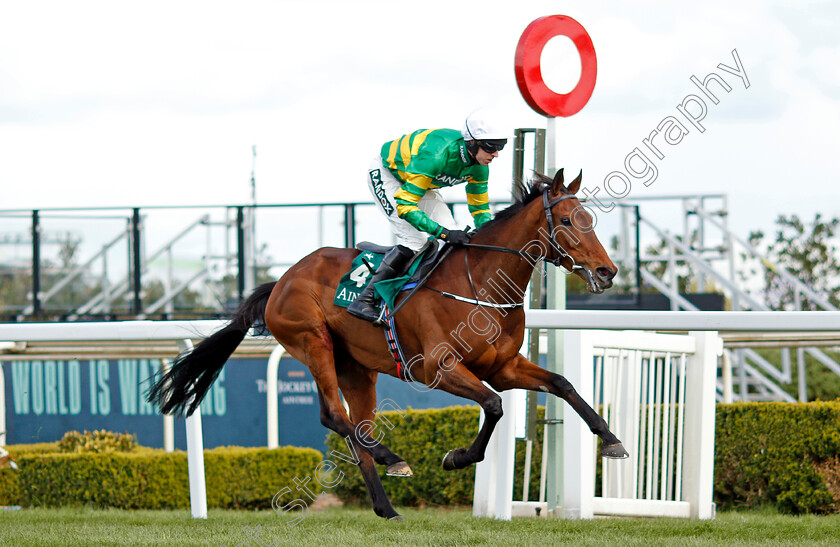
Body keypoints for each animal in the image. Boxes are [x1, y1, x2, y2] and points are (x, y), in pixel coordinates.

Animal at [148, 169, 628, 520]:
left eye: (590, 221)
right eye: (565, 221)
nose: (607, 272)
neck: (481, 285)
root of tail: (283, 279)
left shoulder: (503, 367)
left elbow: (563, 384)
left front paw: (611, 441)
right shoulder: (437, 368)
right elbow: (493, 406)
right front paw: (457, 457)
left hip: (356, 369)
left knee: (356, 428)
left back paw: (386, 506)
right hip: (313, 341)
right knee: (335, 417)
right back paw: (391, 457)